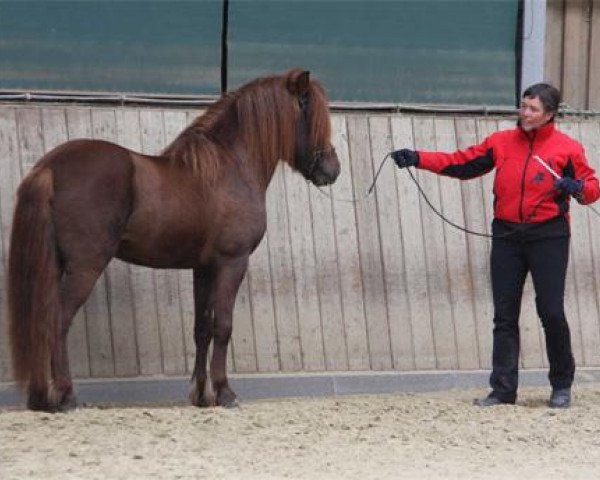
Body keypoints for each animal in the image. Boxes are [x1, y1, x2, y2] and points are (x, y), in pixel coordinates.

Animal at [9, 68, 340, 412]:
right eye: (312, 115)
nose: (333, 169)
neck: (231, 167)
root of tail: (48, 167)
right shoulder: (232, 263)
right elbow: (223, 326)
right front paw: (224, 392)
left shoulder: (203, 269)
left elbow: (202, 329)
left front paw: (200, 395)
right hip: (86, 266)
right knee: (58, 320)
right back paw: (66, 396)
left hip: (55, 264)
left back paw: (42, 397)